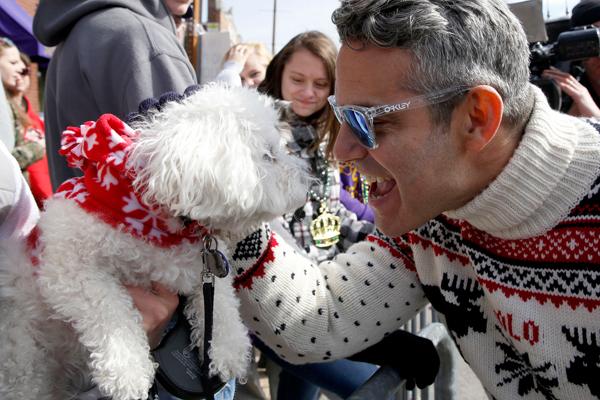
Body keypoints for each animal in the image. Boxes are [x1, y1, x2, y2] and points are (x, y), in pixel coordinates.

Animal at [0, 83, 310, 398]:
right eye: (268, 155)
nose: (308, 184)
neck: (160, 225)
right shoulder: (67, 267)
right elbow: (109, 309)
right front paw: (127, 371)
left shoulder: (200, 264)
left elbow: (221, 301)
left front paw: (227, 348)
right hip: (25, 360)